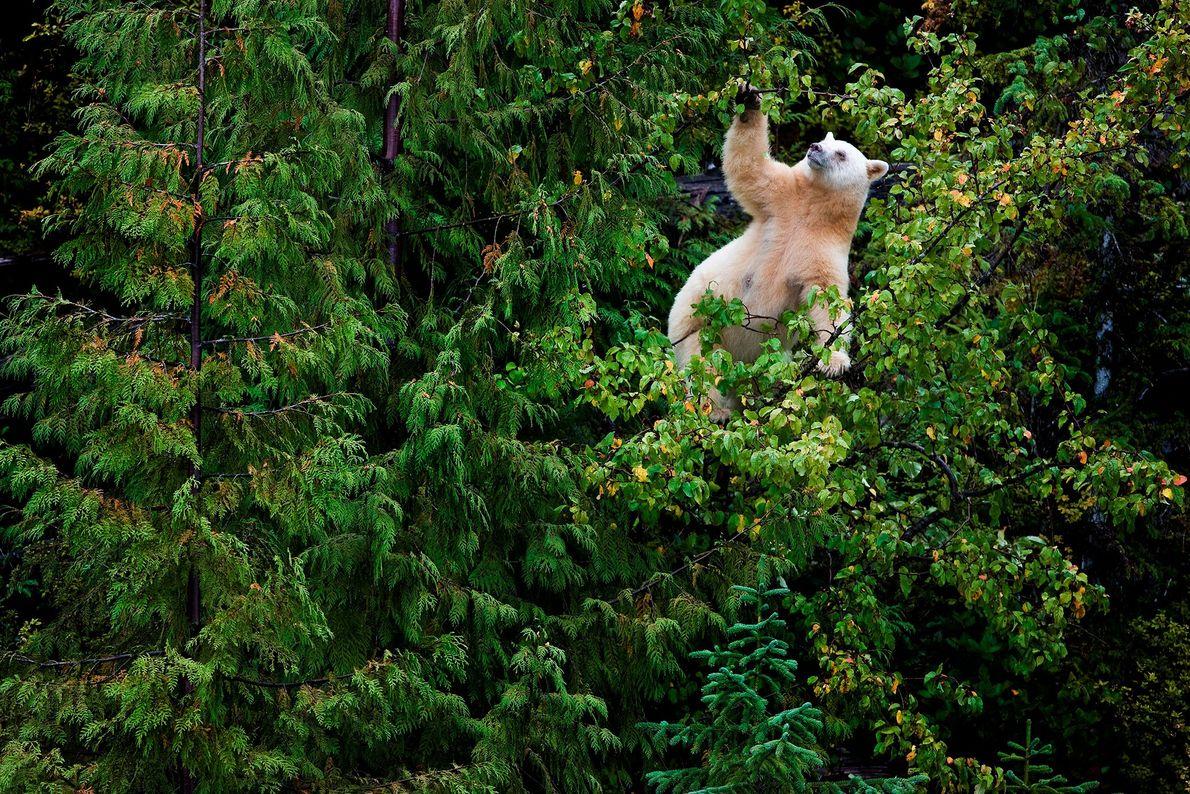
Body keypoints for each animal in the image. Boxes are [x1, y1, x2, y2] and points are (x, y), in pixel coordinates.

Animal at [667, 91, 888, 420]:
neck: (811, 210)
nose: (814, 147)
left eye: (841, 154)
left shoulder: (825, 249)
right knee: (704, 365)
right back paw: (716, 410)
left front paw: (834, 362)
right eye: (824, 140)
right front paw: (749, 101)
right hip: (694, 324)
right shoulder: (779, 200)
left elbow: (827, 299)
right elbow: (750, 170)